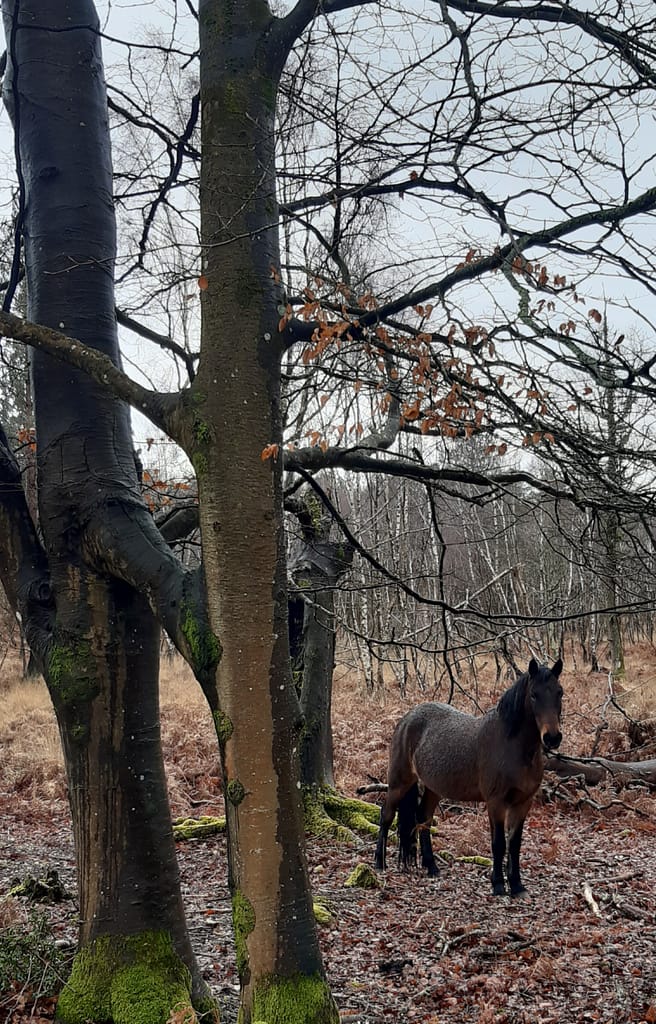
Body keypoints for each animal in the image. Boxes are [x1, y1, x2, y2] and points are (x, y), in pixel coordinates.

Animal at [374, 658, 563, 896]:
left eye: (559, 693)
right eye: (534, 695)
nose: (552, 738)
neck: (513, 747)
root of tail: (406, 719)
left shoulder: (522, 803)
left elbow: (515, 844)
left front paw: (517, 885)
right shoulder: (496, 802)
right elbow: (499, 844)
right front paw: (498, 885)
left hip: (434, 788)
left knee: (423, 817)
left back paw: (431, 866)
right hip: (399, 782)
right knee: (387, 815)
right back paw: (379, 863)